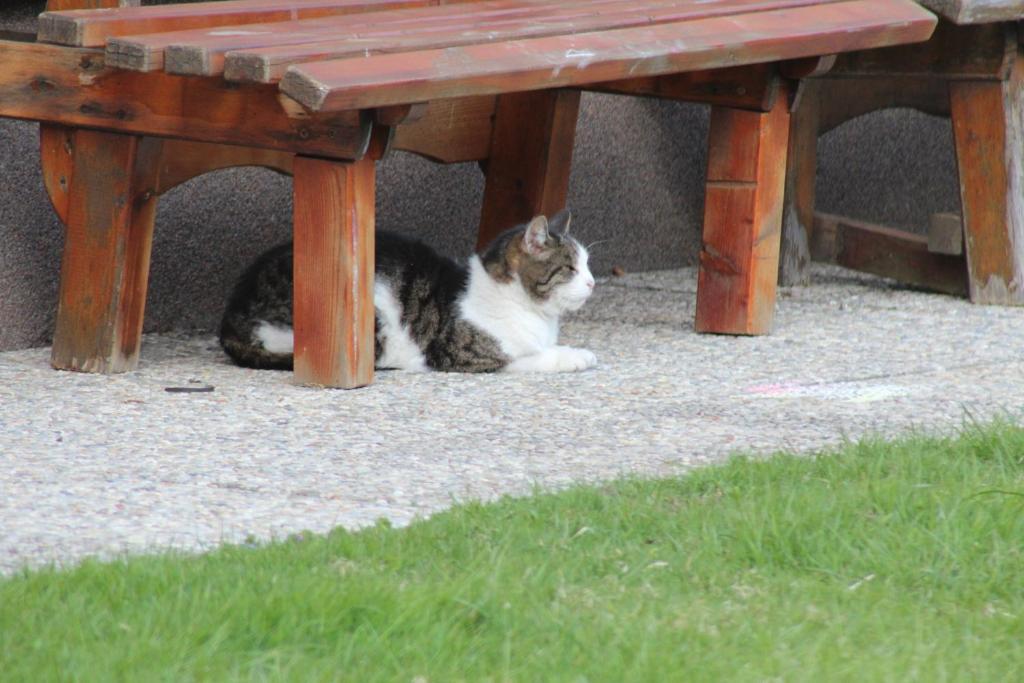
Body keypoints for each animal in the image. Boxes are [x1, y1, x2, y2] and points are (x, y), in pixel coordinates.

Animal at [220, 211, 598, 374]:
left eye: (588, 263)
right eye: (570, 268)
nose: (593, 282)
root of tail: (230, 320)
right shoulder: (461, 354)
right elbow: (532, 358)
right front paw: (578, 355)